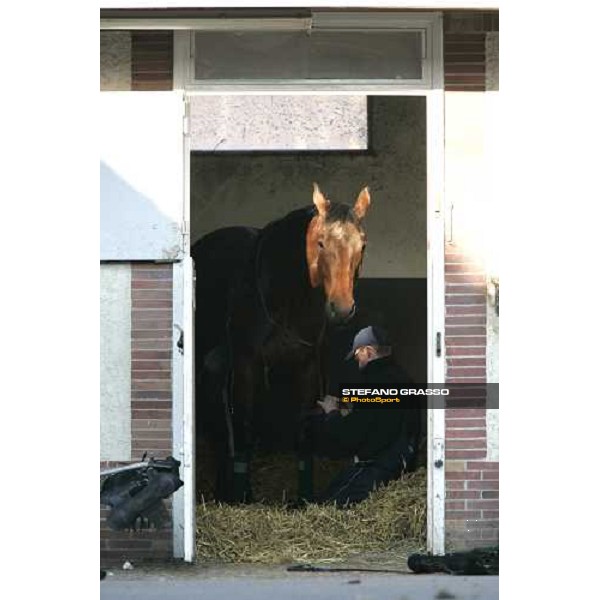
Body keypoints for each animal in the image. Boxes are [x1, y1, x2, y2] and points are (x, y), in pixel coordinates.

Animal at [193, 182, 370, 502]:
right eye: (321, 243)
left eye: (362, 245)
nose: (341, 309)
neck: (283, 296)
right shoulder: (247, 365)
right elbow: (245, 427)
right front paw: (242, 497)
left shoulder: (307, 366)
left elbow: (303, 431)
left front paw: (303, 499)